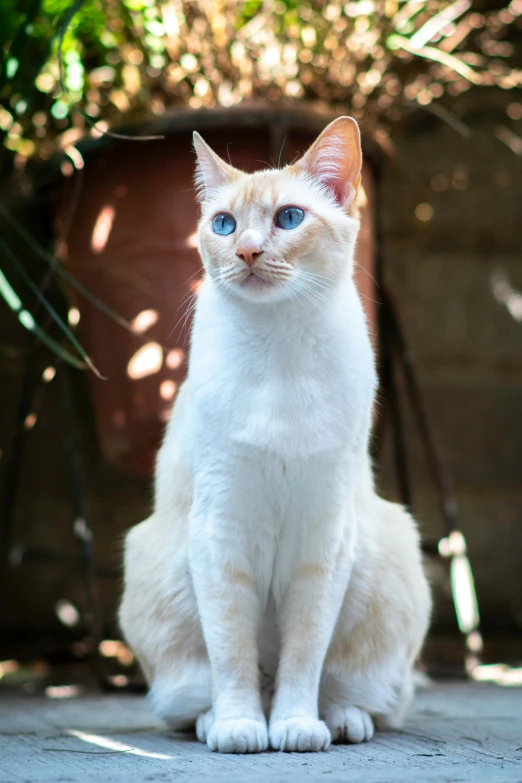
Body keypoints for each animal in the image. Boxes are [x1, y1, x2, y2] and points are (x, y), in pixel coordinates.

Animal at [119, 116, 430, 752]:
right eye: (224, 225)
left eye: (289, 218)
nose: (247, 250)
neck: (279, 349)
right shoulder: (221, 533)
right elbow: (233, 654)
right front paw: (241, 728)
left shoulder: (323, 539)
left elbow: (303, 655)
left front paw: (294, 727)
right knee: (195, 697)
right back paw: (219, 721)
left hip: (386, 561)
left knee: (356, 692)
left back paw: (339, 723)